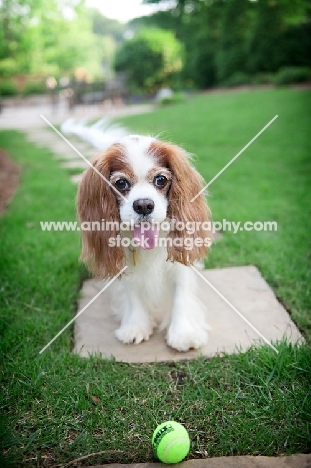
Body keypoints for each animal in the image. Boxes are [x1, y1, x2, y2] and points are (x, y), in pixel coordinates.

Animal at [77, 135, 212, 352]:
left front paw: (183, 333)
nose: (143, 205)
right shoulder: (126, 266)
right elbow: (132, 294)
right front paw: (135, 326)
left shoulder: (180, 265)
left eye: (161, 180)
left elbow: (181, 294)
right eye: (121, 183)